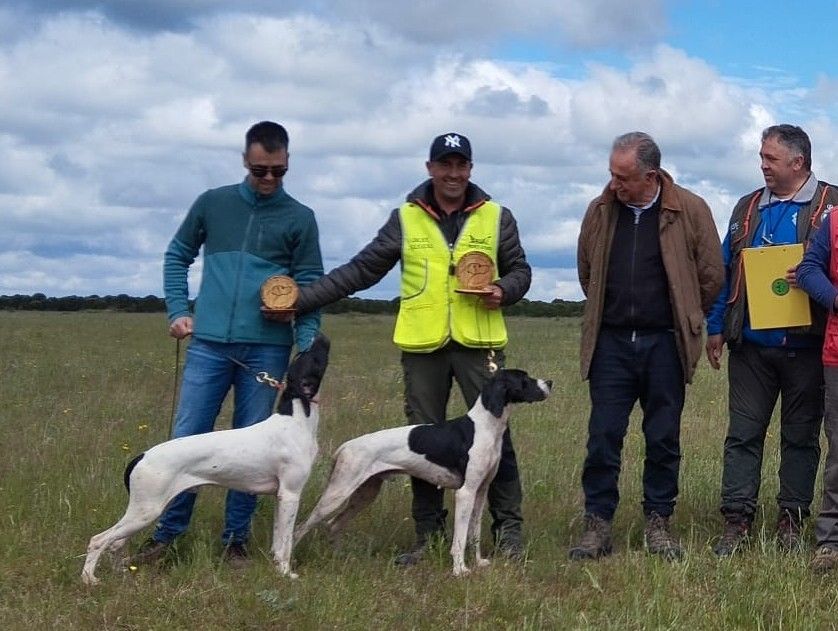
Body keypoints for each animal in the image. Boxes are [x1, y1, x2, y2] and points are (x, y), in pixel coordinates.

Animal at [81, 334, 332, 584]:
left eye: (305, 353)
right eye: (313, 356)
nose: (319, 335)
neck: (296, 418)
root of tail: (142, 457)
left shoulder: (281, 497)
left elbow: (279, 540)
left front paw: (278, 568)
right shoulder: (290, 494)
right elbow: (286, 543)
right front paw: (286, 573)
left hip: (144, 510)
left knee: (115, 543)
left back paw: (120, 573)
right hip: (146, 510)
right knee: (99, 540)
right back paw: (89, 579)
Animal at [294, 370, 552, 576]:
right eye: (525, 379)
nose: (550, 382)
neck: (485, 427)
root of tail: (345, 447)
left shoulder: (480, 492)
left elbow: (474, 534)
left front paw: (478, 563)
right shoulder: (465, 493)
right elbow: (460, 539)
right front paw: (460, 570)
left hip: (364, 494)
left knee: (334, 524)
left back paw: (339, 557)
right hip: (337, 493)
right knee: (300, 528)